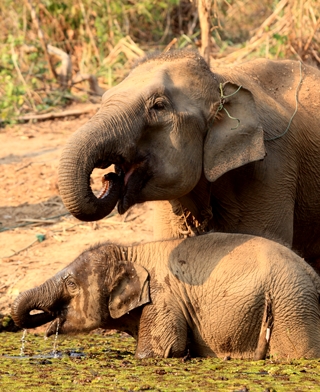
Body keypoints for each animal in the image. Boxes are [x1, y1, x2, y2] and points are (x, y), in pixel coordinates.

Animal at [11, 233, 320, 358]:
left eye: (72, 284)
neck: (133, 250)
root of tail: (313, 274)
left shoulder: (163, 299)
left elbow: (160, 352)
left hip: (291, 304)